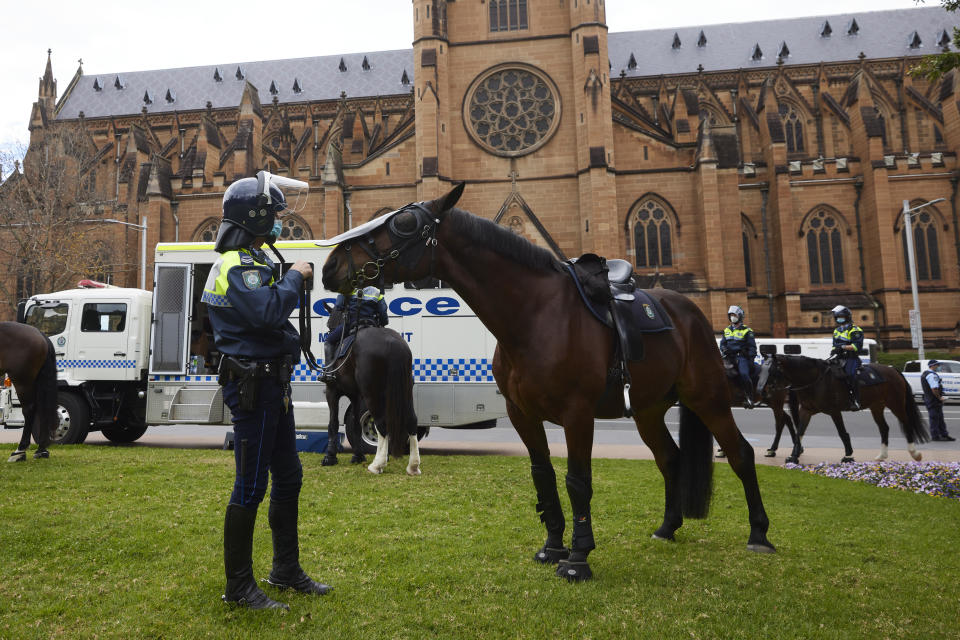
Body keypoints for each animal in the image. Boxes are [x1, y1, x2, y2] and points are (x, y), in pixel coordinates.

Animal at [0, 322, 58, 462]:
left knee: (29, 409)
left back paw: (20, 450)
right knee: (42, 408)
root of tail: (40, 334)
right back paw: (41, 450)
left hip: (22, 381)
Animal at [318, 302, 420, 476]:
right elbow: (356, 424)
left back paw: (377, 465)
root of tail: (392, 343)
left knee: (381, 424)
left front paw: (330, 457)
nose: (330, 331)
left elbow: (333, 423)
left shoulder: (332, 391)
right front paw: (358, 456)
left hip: (373, 395)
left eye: (329, 324)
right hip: (405, 393)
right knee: (411, 421)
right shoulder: (355, 396)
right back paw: (413, 466)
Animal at [756, 352, 928, 462]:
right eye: (761, 369)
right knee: (884, 428)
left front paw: (848, 455)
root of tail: (893, 370)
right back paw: (882, 456)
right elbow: (800, 432)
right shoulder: (806, 410)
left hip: (896, 404)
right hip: (876, 407)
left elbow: (842, 432)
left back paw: (915, 453)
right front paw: (794, 456)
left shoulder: (834, 411)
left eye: (771, 371)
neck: (816, 380)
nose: (761, 391)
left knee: (907, 423)